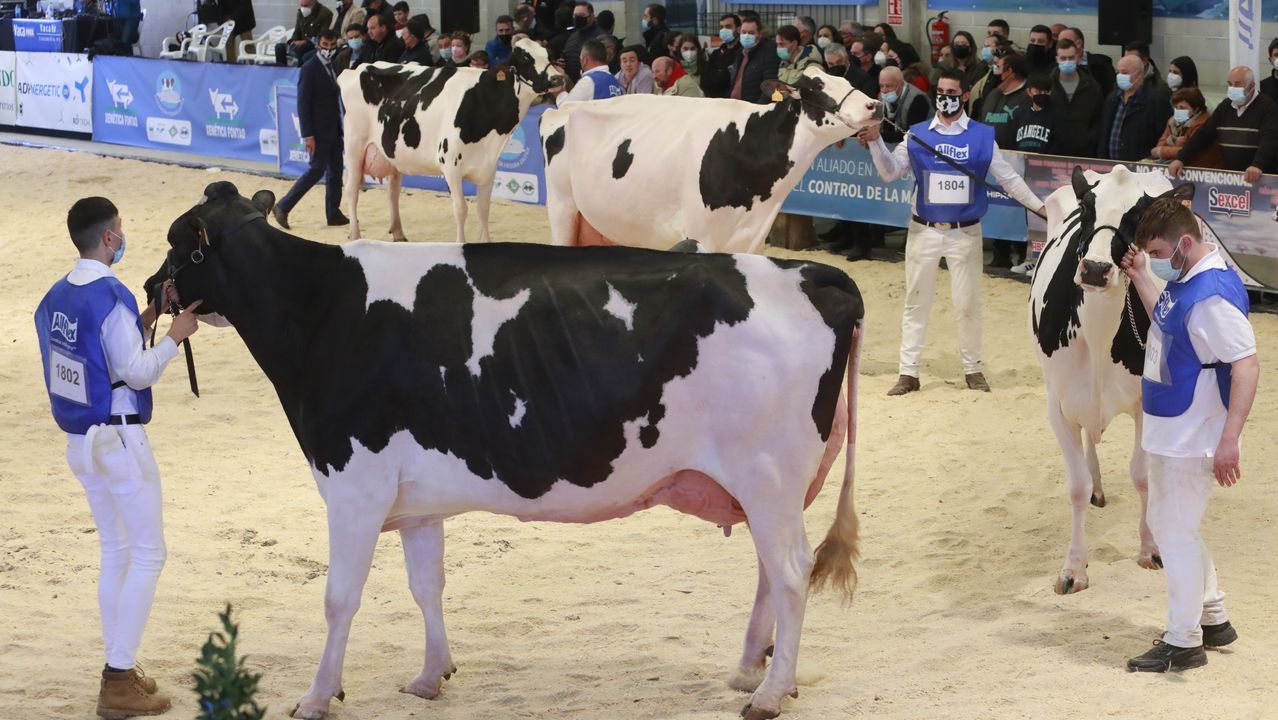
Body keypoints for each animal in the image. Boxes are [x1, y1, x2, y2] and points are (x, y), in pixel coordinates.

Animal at [536, 66, 879, 253]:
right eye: (820, 87)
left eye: (848, 82)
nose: (874, 105)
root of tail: (560, 109)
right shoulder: (699, 236)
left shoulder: (751, 240)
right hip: (563, 208)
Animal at [1022, 166, 1191, 593]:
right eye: (1086, 209)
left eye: (1139, 215)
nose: (1096, 269)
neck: (1098, 337)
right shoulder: (1058, 405)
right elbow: (1077, 486)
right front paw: (1074, 568)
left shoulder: (1149, 403)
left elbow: (1142, 477)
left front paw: (1150, 548)